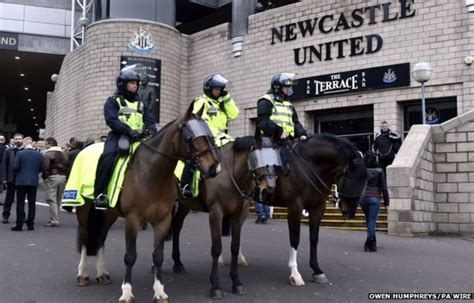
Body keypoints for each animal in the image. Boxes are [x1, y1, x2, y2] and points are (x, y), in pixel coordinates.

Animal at [74, 103, 222, 302]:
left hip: (109, 213)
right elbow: (130, 256)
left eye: (210, 136)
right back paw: (82, 274)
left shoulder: (163, 220)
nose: (215, 168)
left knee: (100, 237)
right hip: (84, 209)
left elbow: (158, 256)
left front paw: (159, 292)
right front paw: (127, 292)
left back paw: (102, 274)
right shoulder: (133, 219)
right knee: (84, 236)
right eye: (191, 138)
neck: (152, 174)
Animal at [168, 137, 258, 300]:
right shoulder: (216, 214)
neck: (230, 174)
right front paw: (215, 286)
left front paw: (236, 283)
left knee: (176, 226)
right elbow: (216, 248)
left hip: (184, 205)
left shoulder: (239, 216)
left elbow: (235, 247)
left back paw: (178, 263)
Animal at [254, 135, 368, 288]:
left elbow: (314, 238)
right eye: (350, 177)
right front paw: (295, 274)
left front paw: (317, 271)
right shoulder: (295, 207)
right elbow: (295, 238)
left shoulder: (318, 208)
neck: (309, 166)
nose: (350, 212)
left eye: (365, 180)